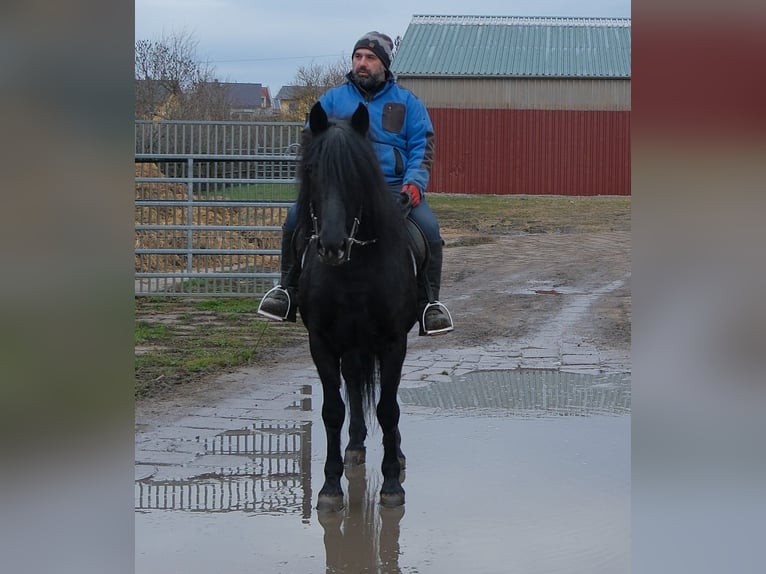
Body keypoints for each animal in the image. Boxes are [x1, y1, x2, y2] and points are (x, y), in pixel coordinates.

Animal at [295, 101, 419, 511]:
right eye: (312, 170)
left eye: (357, 172)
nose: (331, 245)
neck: (352, 271)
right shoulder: (321, 342)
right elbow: (333, 410)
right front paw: (331, 486)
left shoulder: (394, 343)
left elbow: (389, 409)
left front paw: (392, 483)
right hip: (350, 345)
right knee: (352, 384)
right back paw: (354, 446)